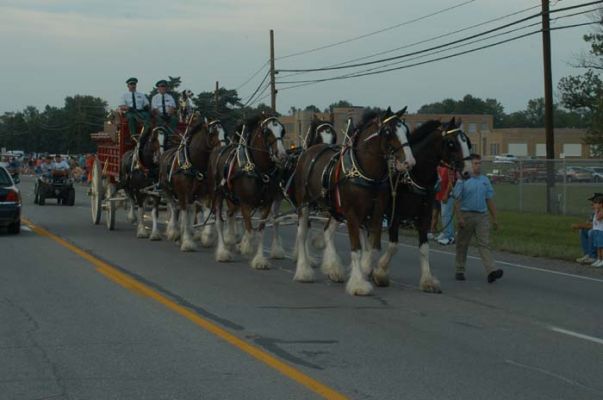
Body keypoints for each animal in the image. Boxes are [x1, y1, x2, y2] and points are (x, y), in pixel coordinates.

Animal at [158, 117, 226, 252]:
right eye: (212, 133)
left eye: (224, 133)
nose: (224, 148)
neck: (193, 165)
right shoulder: (182, 193)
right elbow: (184, 214)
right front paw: (187, 241)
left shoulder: (204, 194)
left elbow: (206, 211)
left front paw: (207, 237)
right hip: (167, 190)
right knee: (174, 208)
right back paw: (174, 232)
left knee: (189, 210)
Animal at [209, 113, 286, 268]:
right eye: (267, 132)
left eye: (282, 131)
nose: (282, 155)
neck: (256, 170)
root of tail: (217, 150)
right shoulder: (245, 204)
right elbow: (250, 231)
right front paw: (247, 249)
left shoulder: (266, 205)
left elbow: (260, 231)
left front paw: (259, 259)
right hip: (218, 194)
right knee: (219, 221)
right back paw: (223, 252)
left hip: (232, 198)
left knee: (230, 215)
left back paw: (231, 241)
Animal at [292, 108, 412, 296]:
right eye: (388, 132)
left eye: (406, 130)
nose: (409, 161)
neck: (366, 173)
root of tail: (309, 150)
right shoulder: (352, 214)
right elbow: (356, 249)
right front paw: (358, 284)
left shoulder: (376, 214)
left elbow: (372, 247)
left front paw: (365, 270)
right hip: (304, 204)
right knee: (302, 233)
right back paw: (304, 271)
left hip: (335, 208)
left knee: (328, 231)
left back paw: (334, 269)